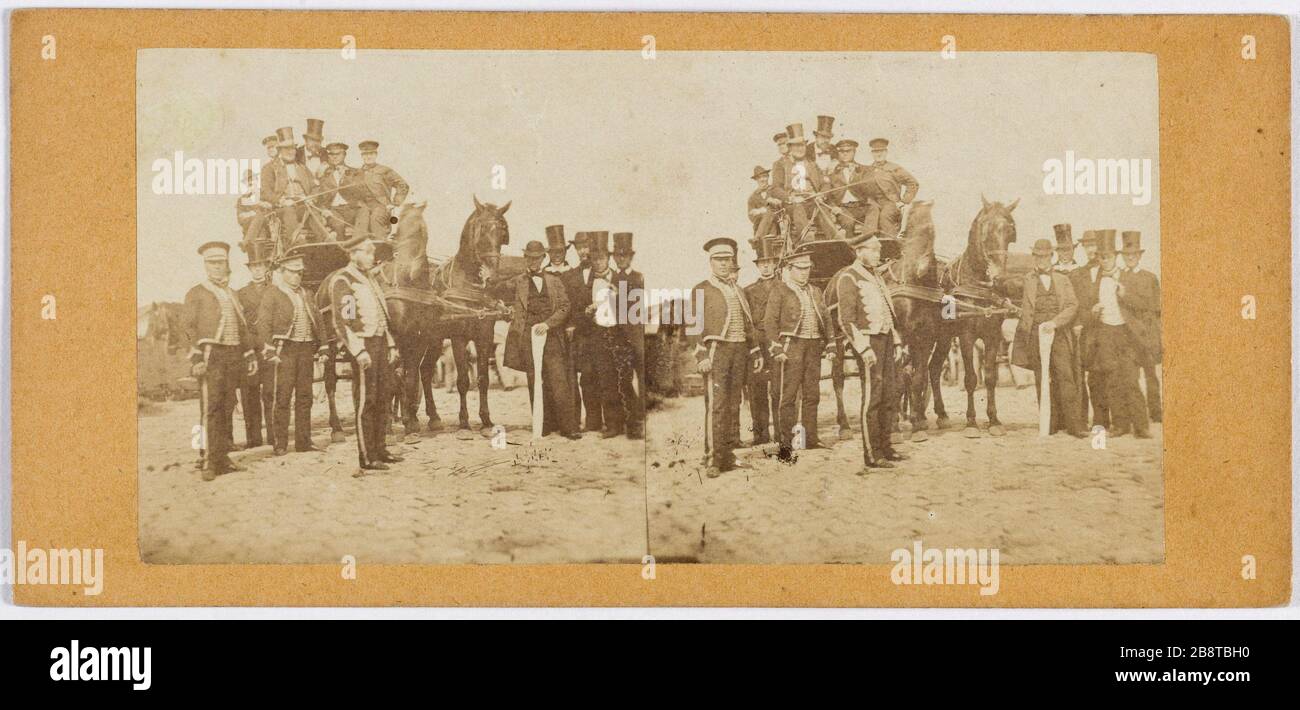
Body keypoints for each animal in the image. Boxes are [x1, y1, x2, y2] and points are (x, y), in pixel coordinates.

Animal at [935, 196, 1024, 434]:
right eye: (984, 231)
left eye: (1011, 231)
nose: (999, 277)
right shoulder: (966, 336)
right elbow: (971, 378)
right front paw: (971, 422)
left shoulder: (992, 335)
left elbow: (991, 377)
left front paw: (993, 420)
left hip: (943, 338)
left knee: (932, 369)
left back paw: (941, 415)